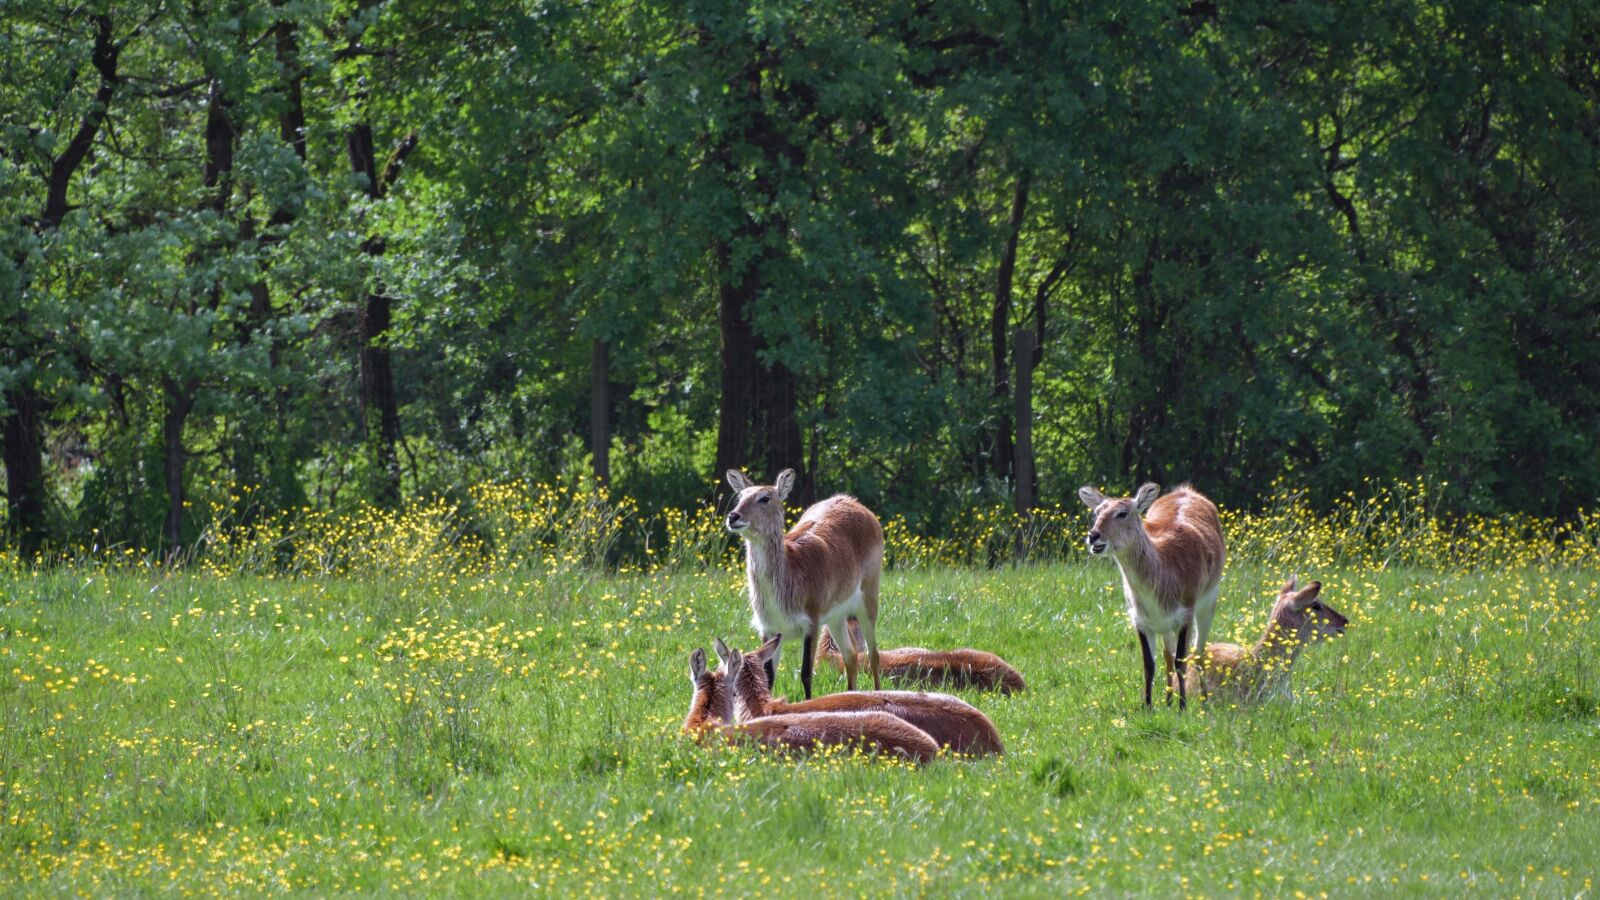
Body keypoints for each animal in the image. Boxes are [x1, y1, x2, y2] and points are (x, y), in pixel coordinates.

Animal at [725, 468, 884, 699]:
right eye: (740, 496)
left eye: (765, 497)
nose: (733, 516)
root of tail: (854, 502)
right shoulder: (769, 629)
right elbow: (768, 678)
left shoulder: (812, 622)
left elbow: (806, 674)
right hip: (836, 616)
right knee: (851, 654)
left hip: (869, 597)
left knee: (874, 654)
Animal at [1079, 482, 1225, 710]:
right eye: (1097, 511)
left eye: (1122, 513)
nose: (1093, 535)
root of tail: (1186, 490)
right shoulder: (1140, 619)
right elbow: (1149, 664)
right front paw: (1148, 706)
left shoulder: (1186, 611)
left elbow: (1182, 661)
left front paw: (1183, 708)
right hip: (1165, 624)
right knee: (1168, 654)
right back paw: (1168, 700)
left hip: (1209, 600)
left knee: (1199, 650)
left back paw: (1204, 701)